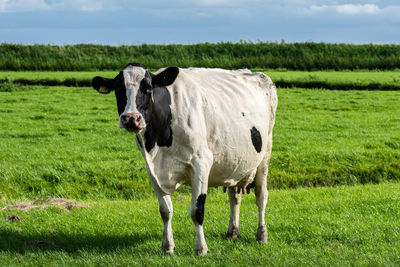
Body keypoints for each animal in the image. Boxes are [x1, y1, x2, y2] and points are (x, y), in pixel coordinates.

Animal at [92, 62, 276, 255]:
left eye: (148, 88)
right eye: (118, 88)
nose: (131, 118)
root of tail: (253, 73)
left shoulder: (201, 162)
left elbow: (197, 210)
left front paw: (201, 248)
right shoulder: (152, 170)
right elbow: (165, 210)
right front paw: (167, 246)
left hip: (266, 154)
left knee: (261, 195)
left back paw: (261, 235)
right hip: (235, 161)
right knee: (235, 196)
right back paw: (232, 231)